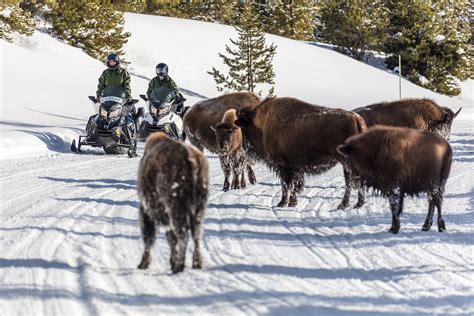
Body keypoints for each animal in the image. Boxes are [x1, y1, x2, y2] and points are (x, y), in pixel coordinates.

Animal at [136, 132, 208, 272]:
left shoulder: (146, 211)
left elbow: (149, 238)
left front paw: (143, 264)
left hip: (176, 209)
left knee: (182, 234)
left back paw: (179, 266)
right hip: (198, 210)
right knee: (196, 235)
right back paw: (196, 264)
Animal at [234, 97, 366, 209]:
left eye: (243, 128)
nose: (241, 146)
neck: (262, 122)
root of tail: (356, 118)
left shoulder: (283, 165)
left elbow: (286, 184)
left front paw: (282, 203)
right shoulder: (294, 167)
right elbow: (293, 184)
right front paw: (292, 203)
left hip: (346, 162)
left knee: (350, 182)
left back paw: (343, 205)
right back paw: (357, 204)